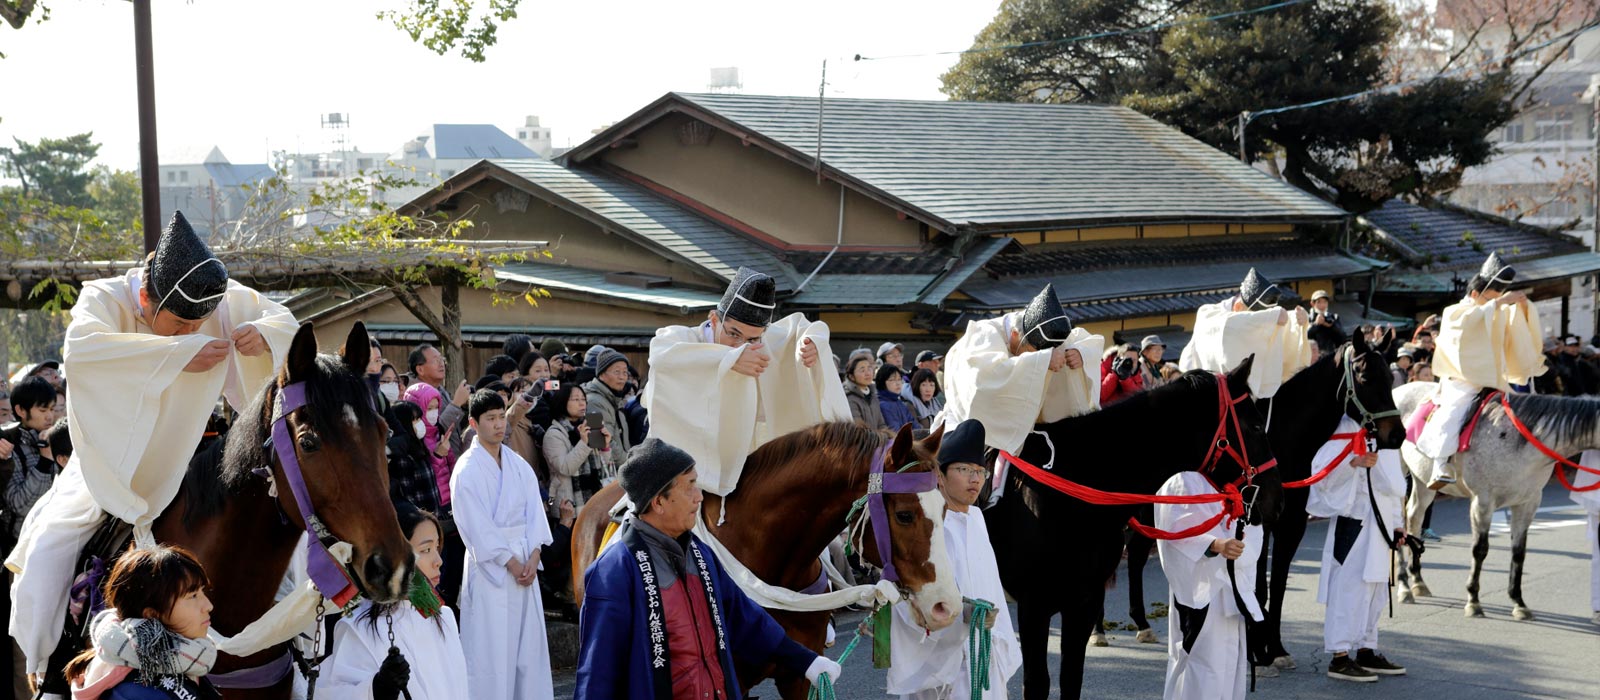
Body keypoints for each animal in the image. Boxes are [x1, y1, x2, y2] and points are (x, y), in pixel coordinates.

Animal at [1388, 385, 1600, 620]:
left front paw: (1518, 602)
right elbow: (1480, 549)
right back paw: (1404, 587)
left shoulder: (1528, 502)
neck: (1519, 443)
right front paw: (1473, 600)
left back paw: (1418, 582)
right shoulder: (1482, 501)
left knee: (1415, 517)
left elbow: (1519, 552)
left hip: (1423, 481)